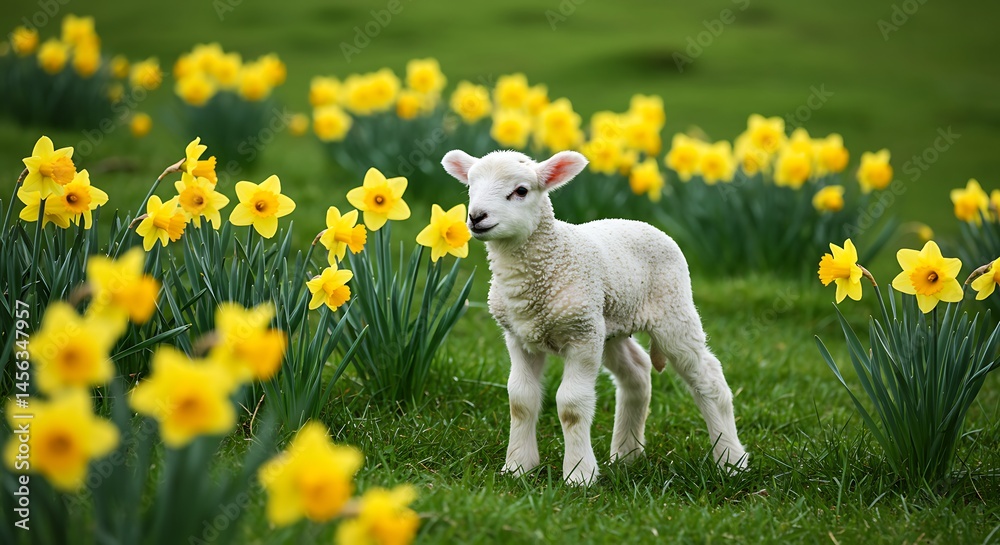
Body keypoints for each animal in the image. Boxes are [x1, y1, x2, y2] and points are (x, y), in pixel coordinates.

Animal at [441, 148, 748, 485]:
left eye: (520, 191)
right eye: (470, 187)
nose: (476, 217)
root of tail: (641, 222)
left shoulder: (582, 335)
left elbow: (571, 405)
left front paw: (579, 475)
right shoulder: (519, 336)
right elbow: (520, 400)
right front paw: (518, 467)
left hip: (671, 311)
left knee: (709, 378)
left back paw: (731, 461)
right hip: (610, 323)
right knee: (637, 372)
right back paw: (627, 455)